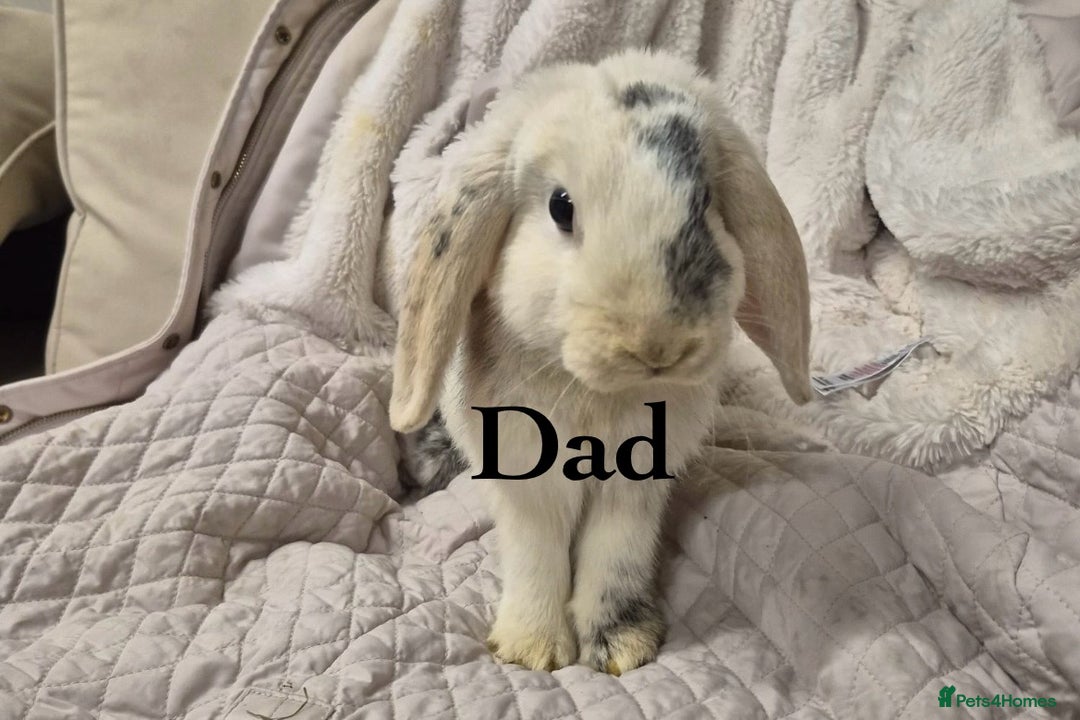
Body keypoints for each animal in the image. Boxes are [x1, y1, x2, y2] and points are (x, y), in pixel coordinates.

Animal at [387, 48, 812, 675]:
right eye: (560, 207)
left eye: (706, 202)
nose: (658, 345)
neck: (594, 395)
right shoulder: (526, 482)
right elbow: (537, 553)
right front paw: (533, 650)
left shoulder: (636, 489)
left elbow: (615, 554)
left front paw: (622, 647)